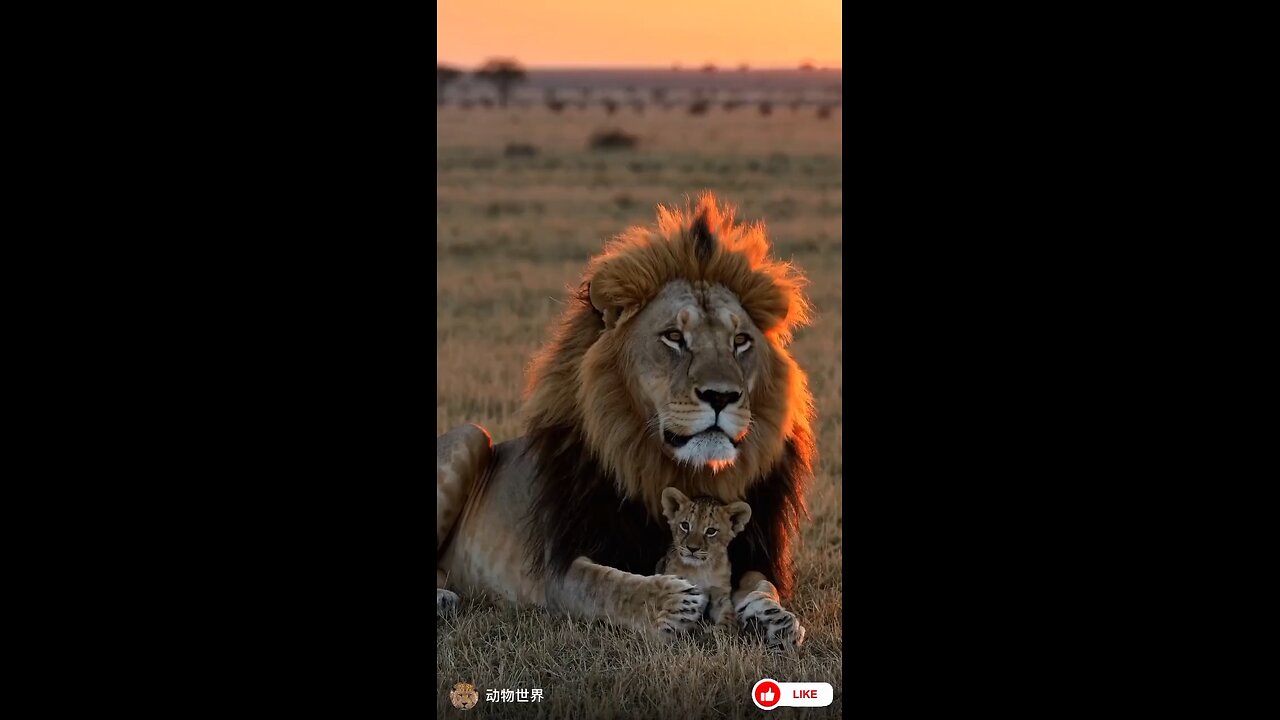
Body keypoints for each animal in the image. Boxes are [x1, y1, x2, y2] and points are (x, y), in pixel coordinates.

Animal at [436, 192, 815, 649]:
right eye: (674, 337)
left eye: (740, 341)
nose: (722, 396)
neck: (679, 470)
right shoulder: (562, 568)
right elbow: (610, 585)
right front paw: (672, 601)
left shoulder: (754, 550)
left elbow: (761, 584)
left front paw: (776, 618)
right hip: (470, 435)